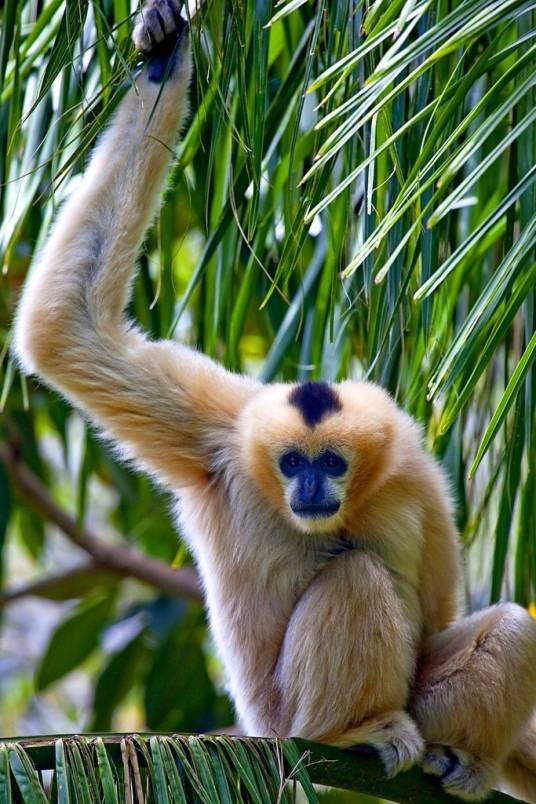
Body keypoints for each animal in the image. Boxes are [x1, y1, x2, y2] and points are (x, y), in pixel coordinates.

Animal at [12, 2, 536, 800]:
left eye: (333, 463)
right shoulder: (219, 431)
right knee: (355, 575)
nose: (312, 487)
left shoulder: (418, 475)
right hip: (283, 721)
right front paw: (165, 56)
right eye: (290, 463)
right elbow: (69, 329)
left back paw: (461, 761)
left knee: (507, 624)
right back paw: (353, 730)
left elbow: (440, 616)